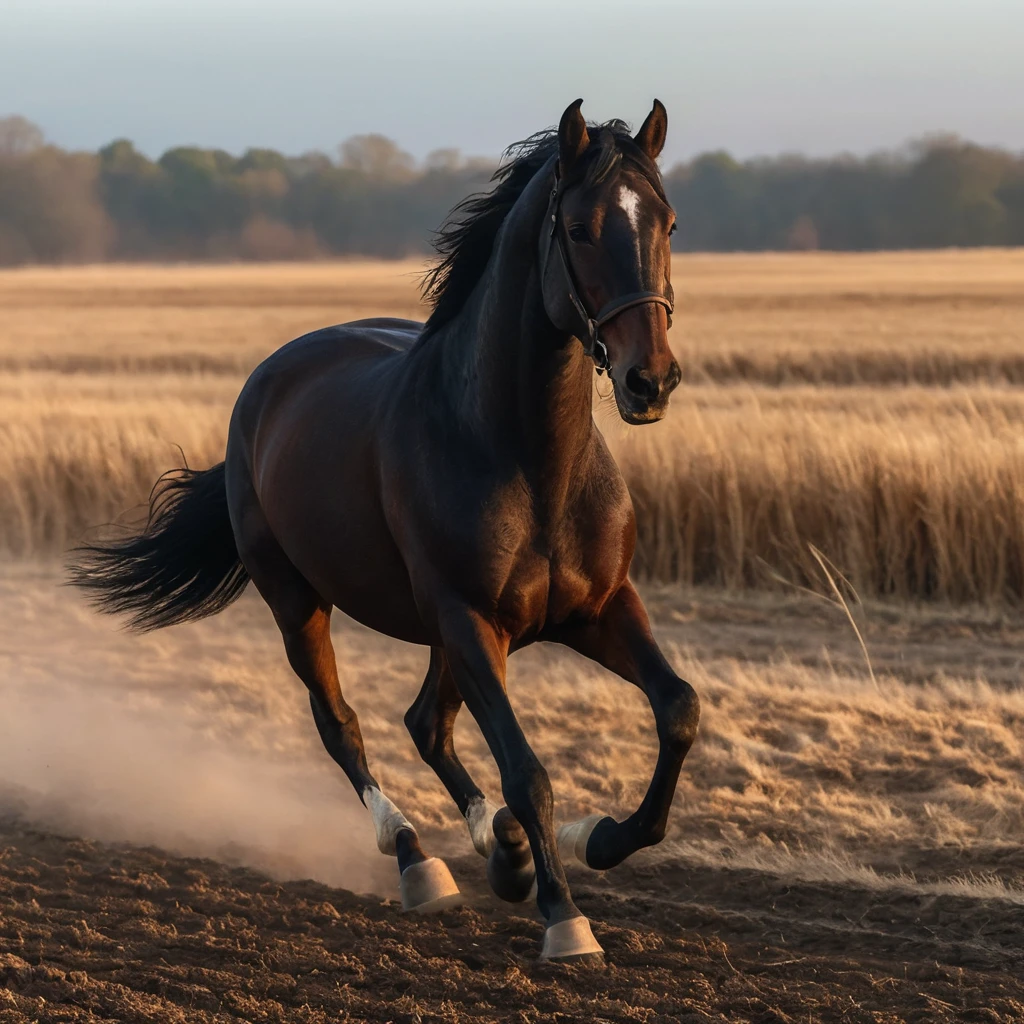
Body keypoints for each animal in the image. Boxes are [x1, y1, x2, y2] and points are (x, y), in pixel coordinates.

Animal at [69, 99, 700, 962]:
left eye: (667, 221)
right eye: (579, 227)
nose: (651, 381)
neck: (527, 457)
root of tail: (267, 381)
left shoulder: (598, 610)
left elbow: (678, 710)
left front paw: (591, 839)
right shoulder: (468, 621)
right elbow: (526, 770)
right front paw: (566, 919)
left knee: (427, 723)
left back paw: (501, 851)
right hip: (299, 601)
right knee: (344, 726)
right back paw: (418, 860)